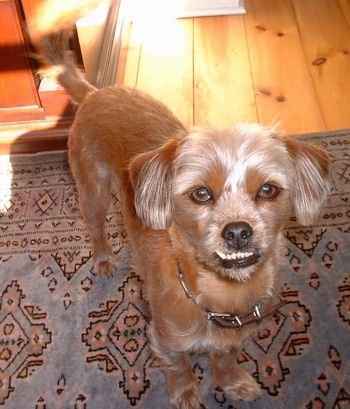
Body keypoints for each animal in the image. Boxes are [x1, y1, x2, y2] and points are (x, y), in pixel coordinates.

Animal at [36, 30, 330, 406]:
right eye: (200, 193)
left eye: (268, 190)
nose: (237, 232)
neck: (222, 295)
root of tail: (95, 92)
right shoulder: (166, 341)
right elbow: (179, 368)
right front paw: (187, 393)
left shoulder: (233, 337)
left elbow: (225, 358)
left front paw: (231, 382)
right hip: (92, 191)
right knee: (97, 227)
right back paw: (103, 258)